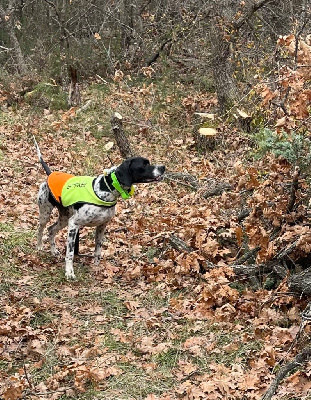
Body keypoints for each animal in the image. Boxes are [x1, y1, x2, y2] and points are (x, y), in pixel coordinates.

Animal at [34, 139, 166, 280]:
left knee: (51, 230)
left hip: (64, 218)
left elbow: (98, 250)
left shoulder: (102, 226)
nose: (163, 167)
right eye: (145, 164)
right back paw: (39, 246)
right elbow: (69, 253)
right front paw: (69, 272)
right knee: (41, 229)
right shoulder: (74, 224)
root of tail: (50, 174)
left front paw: (96, 267)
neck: (106, 189)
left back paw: (53, 251)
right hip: (46, 213)